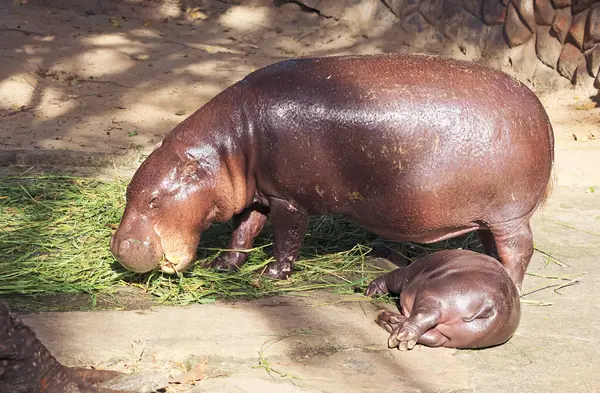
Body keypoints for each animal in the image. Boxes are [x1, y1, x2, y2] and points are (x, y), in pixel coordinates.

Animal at [109, 52, 552, 288]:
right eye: (129, 192)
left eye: (153, 200)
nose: (117, 248)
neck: (228, 147)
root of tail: (542, 114)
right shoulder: (259, 194)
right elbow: (243, 232)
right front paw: (221, 266)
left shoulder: (288, 199)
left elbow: (286, 238)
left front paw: (270, 274)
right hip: (491, 216)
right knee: (494, 245)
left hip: (511, 215)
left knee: (519, 251)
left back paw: (509, 284)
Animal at [366, 248, 520, 350]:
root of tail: (491, 304)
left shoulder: (405, 275)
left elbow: (390, 278)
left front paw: (371, 291)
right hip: (460, 336)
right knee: (434, 337)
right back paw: (389, 322)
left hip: (434, 297)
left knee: (428, 315)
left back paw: (397, 331)